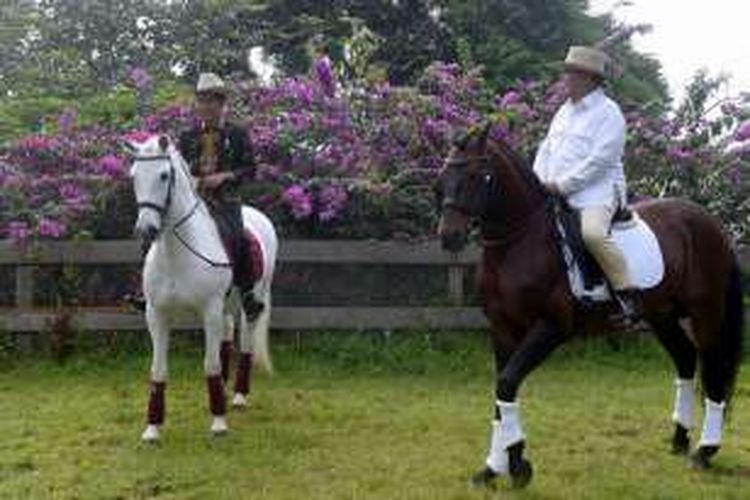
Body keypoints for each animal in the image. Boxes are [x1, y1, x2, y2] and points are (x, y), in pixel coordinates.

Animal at [128, 134, 278, 442]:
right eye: (134, 176)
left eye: (164, 175)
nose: (146, 230)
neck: (177, 254)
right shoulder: (156, 315)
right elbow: (158, 369)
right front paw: (152, 428)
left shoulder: (209, 311)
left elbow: (210, 364)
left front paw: (219, 422)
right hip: (226, 307)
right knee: (227, 336)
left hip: (251, 301)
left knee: (246, 342)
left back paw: (239, 396)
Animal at [434, 124, 748, 488]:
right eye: (444, 177)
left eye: (476, 175)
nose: (448, 236)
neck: (520, 241)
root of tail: (711, 224)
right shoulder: (502, 329)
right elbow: (501, 393)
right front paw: (492, 468)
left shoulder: (549, 328)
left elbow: (508, 384)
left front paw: (518, 466)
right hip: (662, 315)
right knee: (685, 358)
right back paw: (679, 440)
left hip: (705, 313)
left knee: (713, 373)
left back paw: (704, 451)